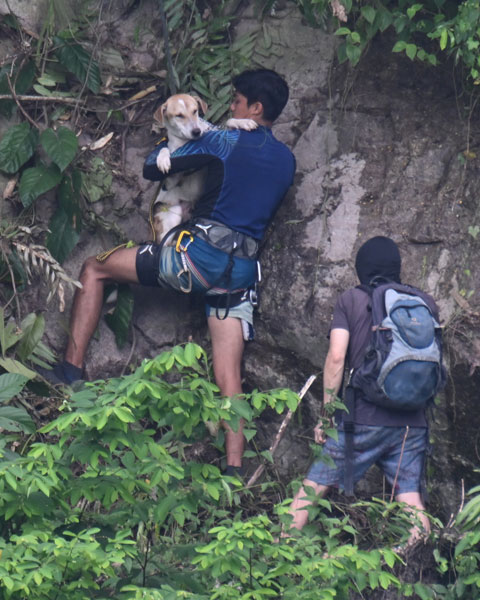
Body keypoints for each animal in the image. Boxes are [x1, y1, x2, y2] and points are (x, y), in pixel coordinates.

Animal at [151, 92, 255, 243]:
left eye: (195, 111)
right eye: (179, 115)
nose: (196, 131)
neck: (188, 142)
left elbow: (228, 123)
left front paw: (242, 122)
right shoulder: (171, 181)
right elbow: (165, 150)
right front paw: (163, 158)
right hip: (173, 214)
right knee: (164, 243)